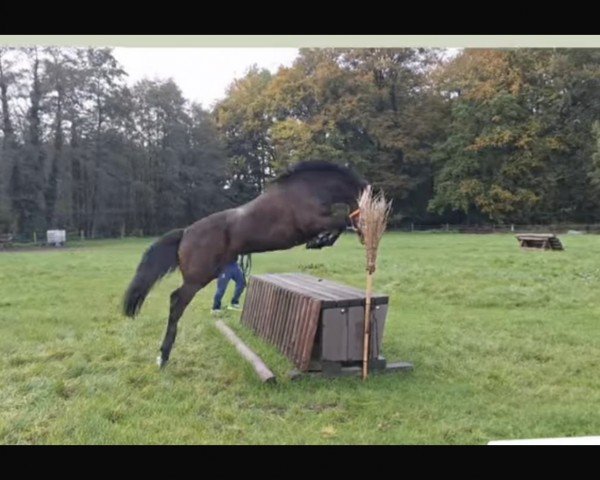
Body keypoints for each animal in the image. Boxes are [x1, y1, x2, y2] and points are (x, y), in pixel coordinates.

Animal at [123, 159, 366, 366]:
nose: (366, 238)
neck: (309, 188)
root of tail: (185, 233)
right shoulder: (311, 222)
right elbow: (340, 221)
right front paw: (319, 241)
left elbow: (339, 222)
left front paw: (320, 241)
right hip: (197, 278)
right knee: (176, 302)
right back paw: (163, 356)